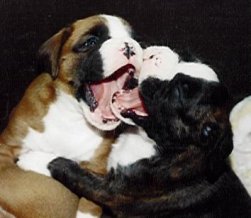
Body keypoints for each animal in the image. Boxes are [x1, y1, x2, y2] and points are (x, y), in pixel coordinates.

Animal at [0, 14, 142, 217]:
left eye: (135, 40)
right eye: (90, 42)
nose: (129, 45)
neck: (72, 116)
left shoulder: (97, 169)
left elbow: (87, 199)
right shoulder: (6, 147)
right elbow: (9, 176)